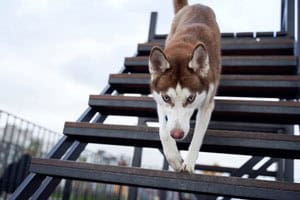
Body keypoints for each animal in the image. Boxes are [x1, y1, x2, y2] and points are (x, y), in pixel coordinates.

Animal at [148, 0, 220, 173]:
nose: (177, 134)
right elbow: (163, 130)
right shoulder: (158, 99)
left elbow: (198, 135)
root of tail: (197, 5)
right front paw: (173, 157)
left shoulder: (207, 104)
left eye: (191, 98)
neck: (183, 50)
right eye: (167, 97)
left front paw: (189, 163)